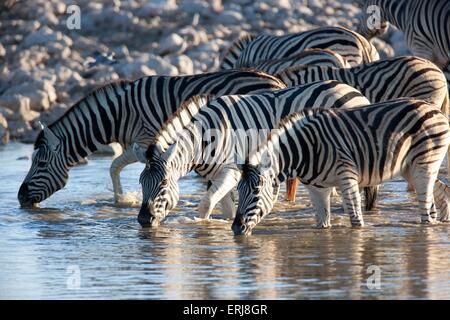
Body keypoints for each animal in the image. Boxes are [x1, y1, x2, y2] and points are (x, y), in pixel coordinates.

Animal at [18, 70, 284, 208]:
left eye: (41, 164)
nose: (20, 197)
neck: (118, 115)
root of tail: (277, 81)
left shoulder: (147, 140)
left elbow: (121, 167)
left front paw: (128, 200)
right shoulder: (136, 143)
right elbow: (114, 166)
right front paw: (122, 200)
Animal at [132, 82, 370, 228]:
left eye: (163, 183)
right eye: (141, 182)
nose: (143, 220)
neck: (204, 139)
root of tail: (353, 90)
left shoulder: (231, 171)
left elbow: (206, 204)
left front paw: (203, 228)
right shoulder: (216, 175)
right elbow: (226, 208)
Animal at [232, 99, 450, 236]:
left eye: (256, 191)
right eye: (238, 191)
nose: (235, 228)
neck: (303, 150)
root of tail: (434, 108)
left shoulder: (347, 177)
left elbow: (356, 221)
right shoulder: (317, 189)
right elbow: (322, 223)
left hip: (423, 164)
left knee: (426, 211)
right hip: (410, 167)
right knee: (438, 194)